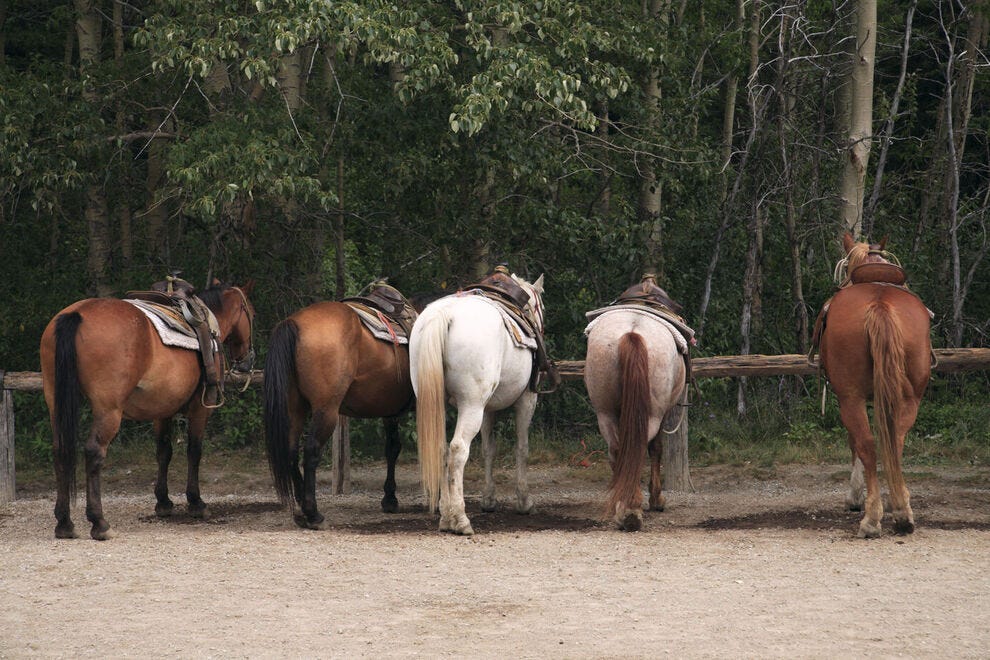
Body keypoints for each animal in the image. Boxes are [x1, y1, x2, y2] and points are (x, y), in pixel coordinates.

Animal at [40, 281, 257, 540]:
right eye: (252, 313)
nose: (246, 361)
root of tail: (76, 314)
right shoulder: (199, 410)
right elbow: (194, 452)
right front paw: (196, 502)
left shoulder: (162, 411)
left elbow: (163, 452)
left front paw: (163, 502)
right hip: (108, 410)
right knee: (94, 452)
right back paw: (99, 522)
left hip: (55, 402)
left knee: (60, 450)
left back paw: (64, 523)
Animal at [264, 291, 418, 529]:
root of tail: (293, 323)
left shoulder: (390, 413)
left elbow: (392, 449)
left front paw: (390, 499)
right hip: (326, 410)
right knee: (311, 450)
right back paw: (313, 513)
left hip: (295, 408)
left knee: (290, 451)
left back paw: (299, 510)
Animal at [411, 272, 547, 535]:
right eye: (541, 308)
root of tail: (444, 315)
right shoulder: (526, 400)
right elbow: (522, 448)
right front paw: (524, 501)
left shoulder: (488, 409)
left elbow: (488, 449)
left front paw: (489, 499)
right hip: (472, 405)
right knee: (457, 449)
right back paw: (460, 519)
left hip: (443, 405)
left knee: (442, 448)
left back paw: (445, 517)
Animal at [583, 275, 689, 531]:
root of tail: (633, 332)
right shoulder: (663, 414)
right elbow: (657, 449)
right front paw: (657, 499)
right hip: (652, 415)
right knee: (640, 448)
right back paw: (632, 509)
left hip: (605, 412)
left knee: (617, 448)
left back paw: (623, 506)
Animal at [818, 233, 931, 538]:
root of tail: (880, 305)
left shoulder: (846, 397)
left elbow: (854, 443)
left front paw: (855, 497)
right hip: (910, 398)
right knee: (897, 439)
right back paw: (901, 510)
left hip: (851, 398)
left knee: (868, 444)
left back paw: (871, 518)